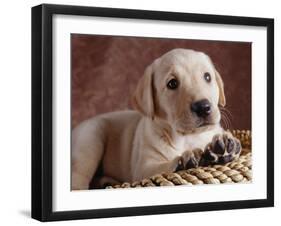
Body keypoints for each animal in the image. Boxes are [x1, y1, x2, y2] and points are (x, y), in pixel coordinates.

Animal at [71, 48, 240, 190]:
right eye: (172, 83)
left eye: (207, 76)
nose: (203, 107)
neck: (188, 138)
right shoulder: (143, 168)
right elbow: (161, 168)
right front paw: (184, 161)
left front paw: (224, 146)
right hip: (91, 139)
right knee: (78, 177)